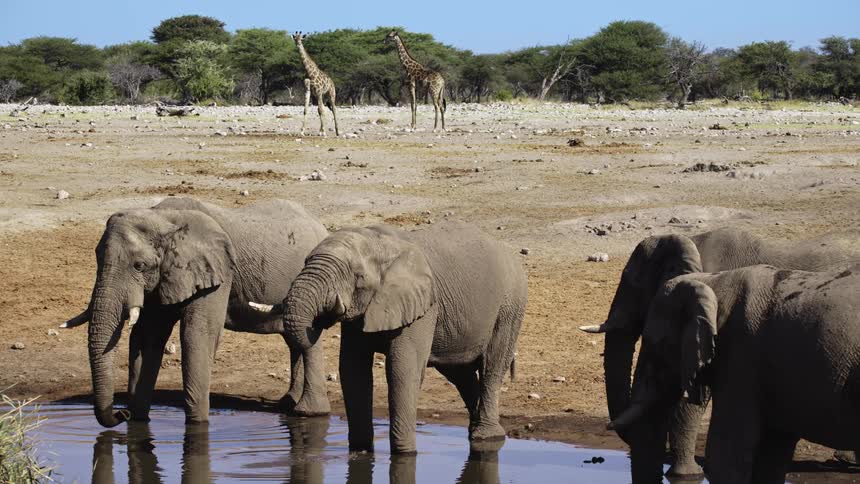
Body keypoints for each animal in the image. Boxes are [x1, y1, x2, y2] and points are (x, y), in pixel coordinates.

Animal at [60, 197, 331, 428]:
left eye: (139, 266)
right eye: (97, 258)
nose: (121, 413)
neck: (163, 219)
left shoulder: (218, 272)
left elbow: (197, 334)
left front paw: (197, 425)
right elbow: (149, 336)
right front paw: (138, 420)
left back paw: (303, 409)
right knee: (293, 339)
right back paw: (288, 404)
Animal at [253, 221, 527, 454]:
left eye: (357, 276)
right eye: (306, 261)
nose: (323, 313)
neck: (378, 242)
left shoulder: (423, 307)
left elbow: (402, 370)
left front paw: (405, 455)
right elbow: (353, 371)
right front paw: (361, 452)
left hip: (510, 306)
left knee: (492, 366)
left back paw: (486, 437)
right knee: (460, 373)